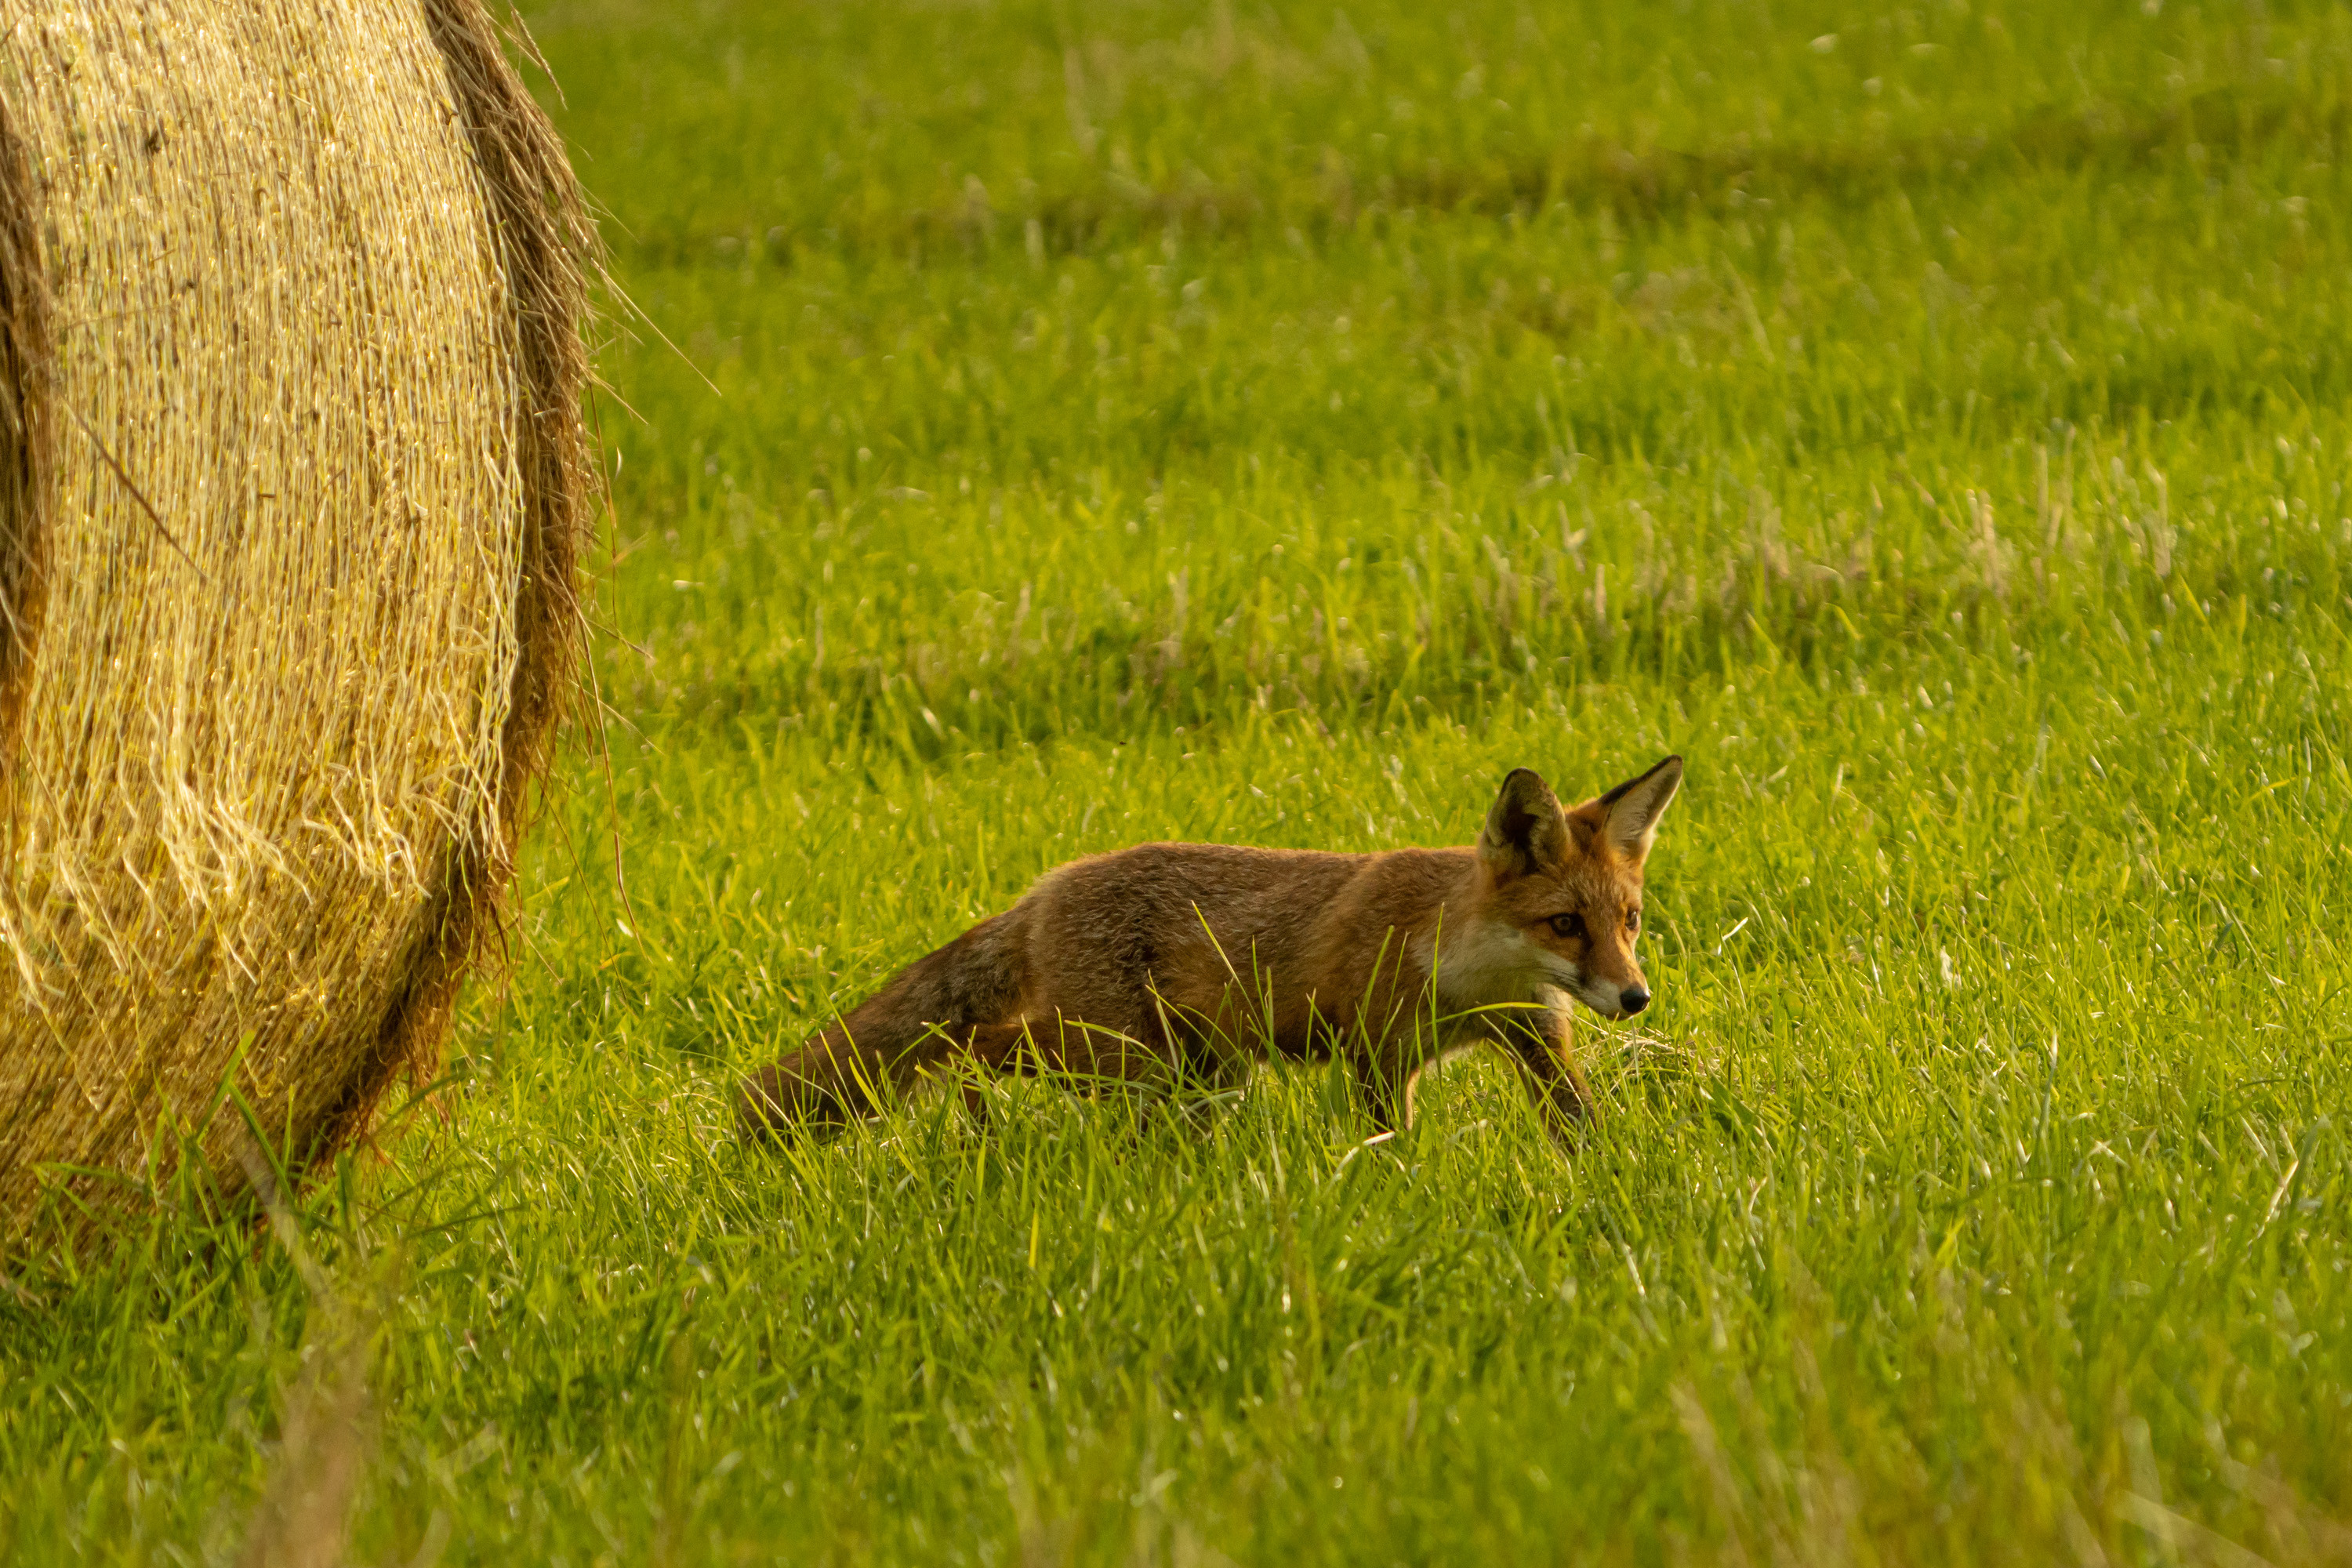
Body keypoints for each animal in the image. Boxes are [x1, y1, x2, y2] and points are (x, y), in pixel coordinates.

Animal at [743, 757, 1684, 1142]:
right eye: (1566, 925)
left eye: (1630, 921)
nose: (1635, 997)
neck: (1465, 977)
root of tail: (1043, 888)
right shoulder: (1375, 1056)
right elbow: (1391, 1143)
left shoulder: (1537, 1036)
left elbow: (1583, 1126)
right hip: (1117, 1053)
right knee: (966, 1042)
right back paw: (976, 1124)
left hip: (1192, 1073)